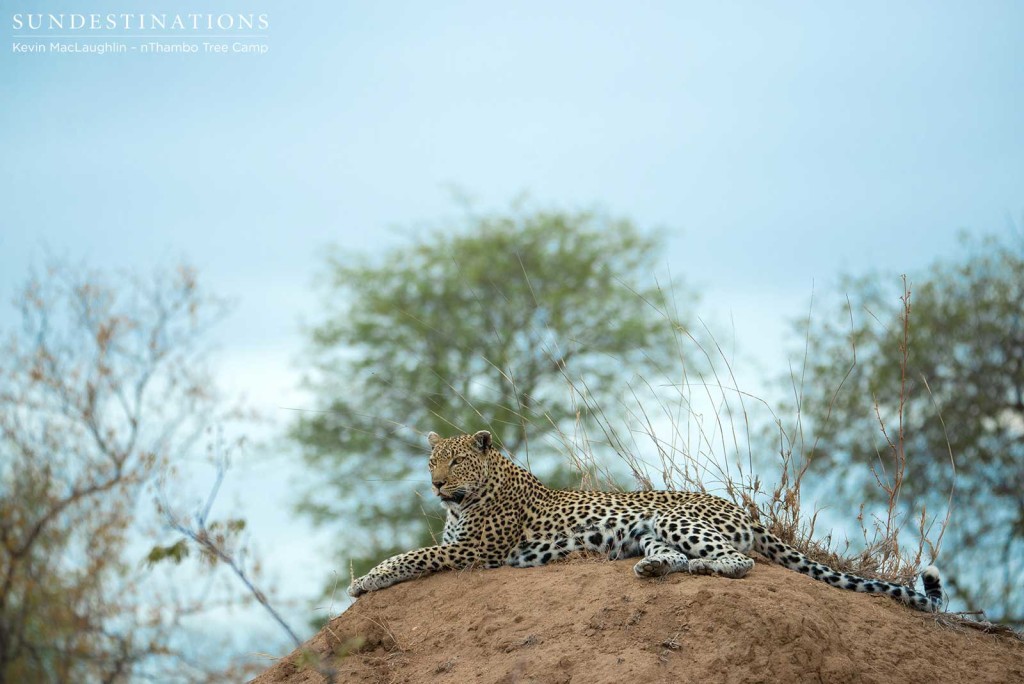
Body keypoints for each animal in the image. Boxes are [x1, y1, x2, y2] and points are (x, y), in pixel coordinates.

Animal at [346, 430, 942, 610]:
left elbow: (413, 553)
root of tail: (743, 509)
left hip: (678, 520)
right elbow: (419, 548)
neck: (472, 496)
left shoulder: (475, 551)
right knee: (676, 557)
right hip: (651, 532)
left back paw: (707, 570)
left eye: (456, 462)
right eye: (432, 461)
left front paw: (362, 582)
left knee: (739, 561)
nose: (435, 485)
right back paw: (657, 571)